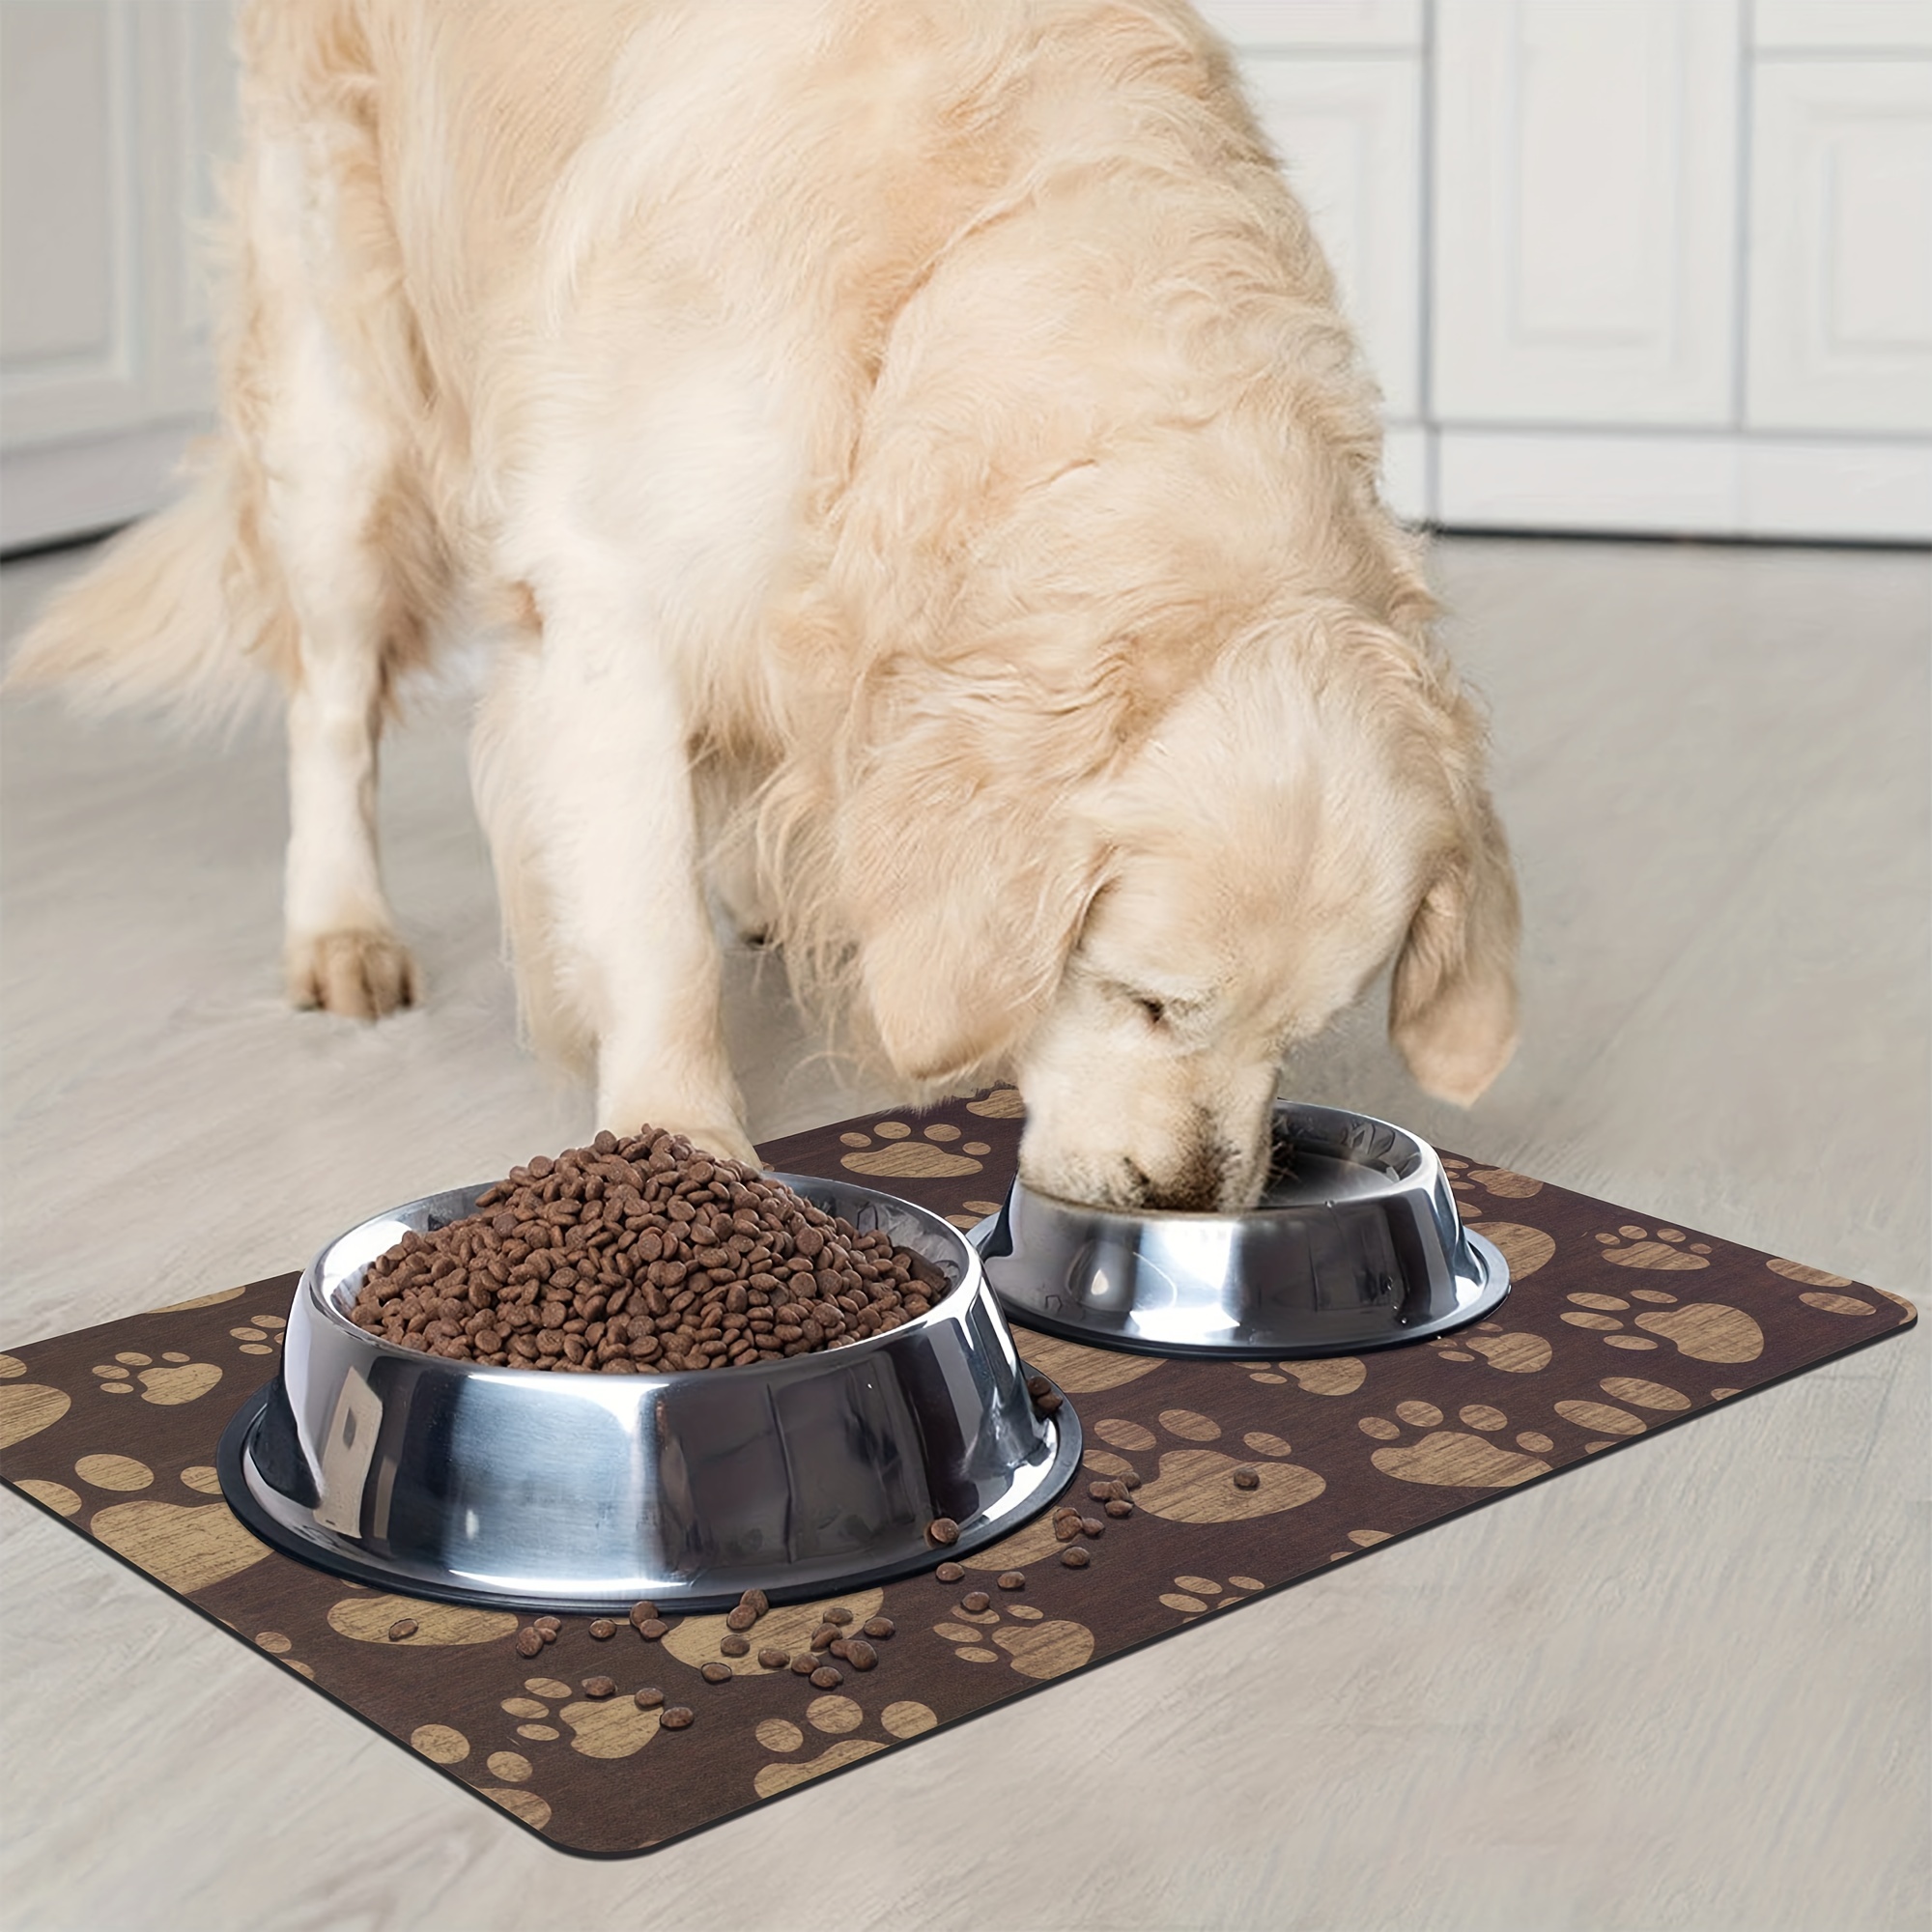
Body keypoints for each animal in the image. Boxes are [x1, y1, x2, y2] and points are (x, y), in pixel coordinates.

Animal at [18, 0, 1522, 1206]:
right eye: (1143, 998)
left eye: (1299, 1037)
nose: (1189, 1202)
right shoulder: (606, 593)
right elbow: (649, 930)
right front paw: (680, 1141)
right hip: (343, 381)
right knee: (331, 700)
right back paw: (341, 931)